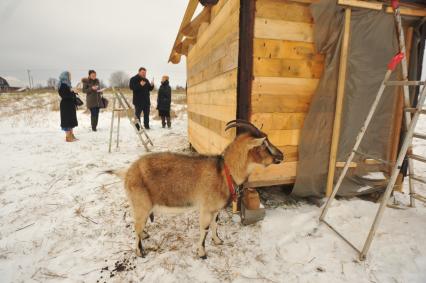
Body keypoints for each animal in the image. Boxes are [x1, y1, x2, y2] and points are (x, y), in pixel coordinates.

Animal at [115, 120, 284, 260]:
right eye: (265, 144)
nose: (282, 155)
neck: (224, 171)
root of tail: (128, 172)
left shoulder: (215, 209)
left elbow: (215, 224)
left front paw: (218, 241)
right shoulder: (206, 208)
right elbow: (205, 228)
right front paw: (202, 253)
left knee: (138, 224)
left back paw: (145, 234)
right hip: (141, 204)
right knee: (137, 226)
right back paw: (140, 252)